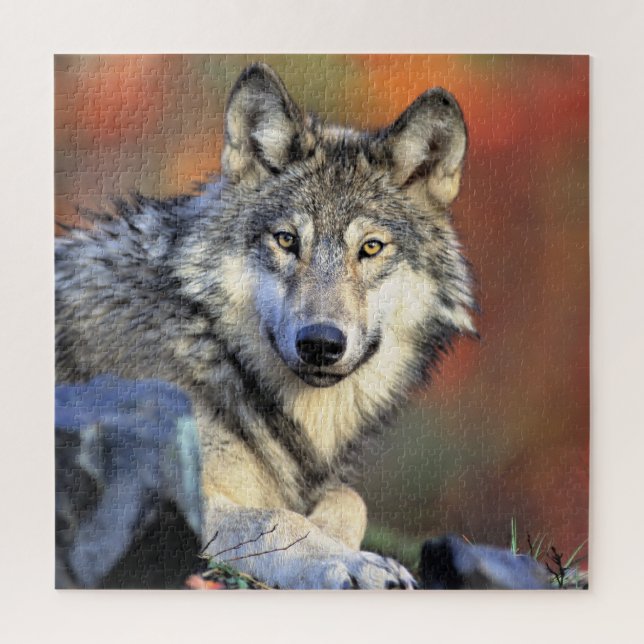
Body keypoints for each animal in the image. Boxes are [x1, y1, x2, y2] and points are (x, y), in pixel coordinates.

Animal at [56, 63, 475, 589]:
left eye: (371, 247)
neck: (212, 349)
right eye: (287, 240)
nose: (320, 343)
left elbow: (349, 498)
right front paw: (351, 562)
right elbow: (277, 519)